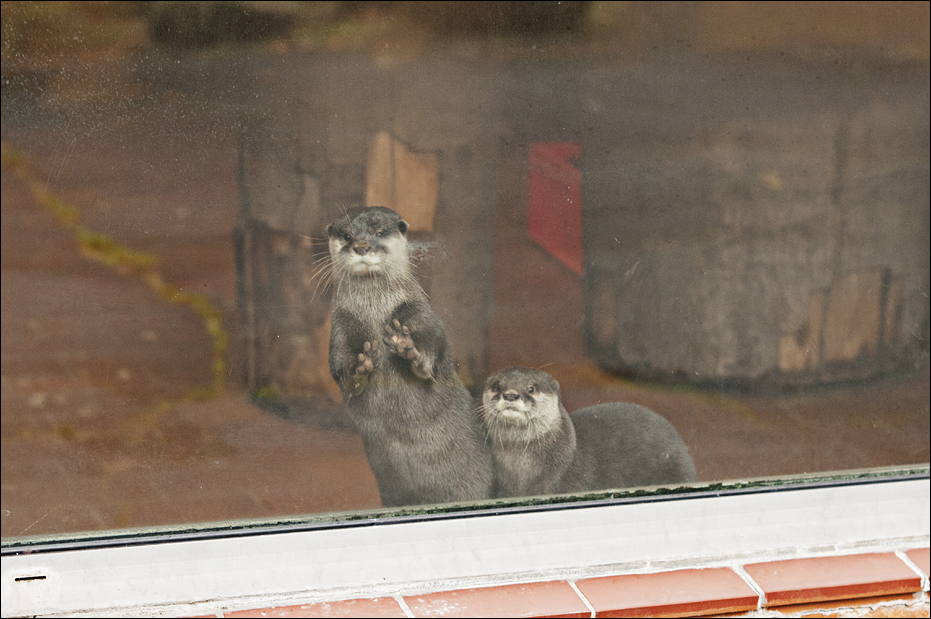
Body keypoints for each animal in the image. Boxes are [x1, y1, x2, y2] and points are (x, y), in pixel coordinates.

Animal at [325, 206, 493, 507]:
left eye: (380, 232)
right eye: (346, 236)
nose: (361, 246)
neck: (375, 312)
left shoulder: (419, 313)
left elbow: (433, 353)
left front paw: (407, 348)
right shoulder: (341, 328)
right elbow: (341, 368)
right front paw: (360, 368)